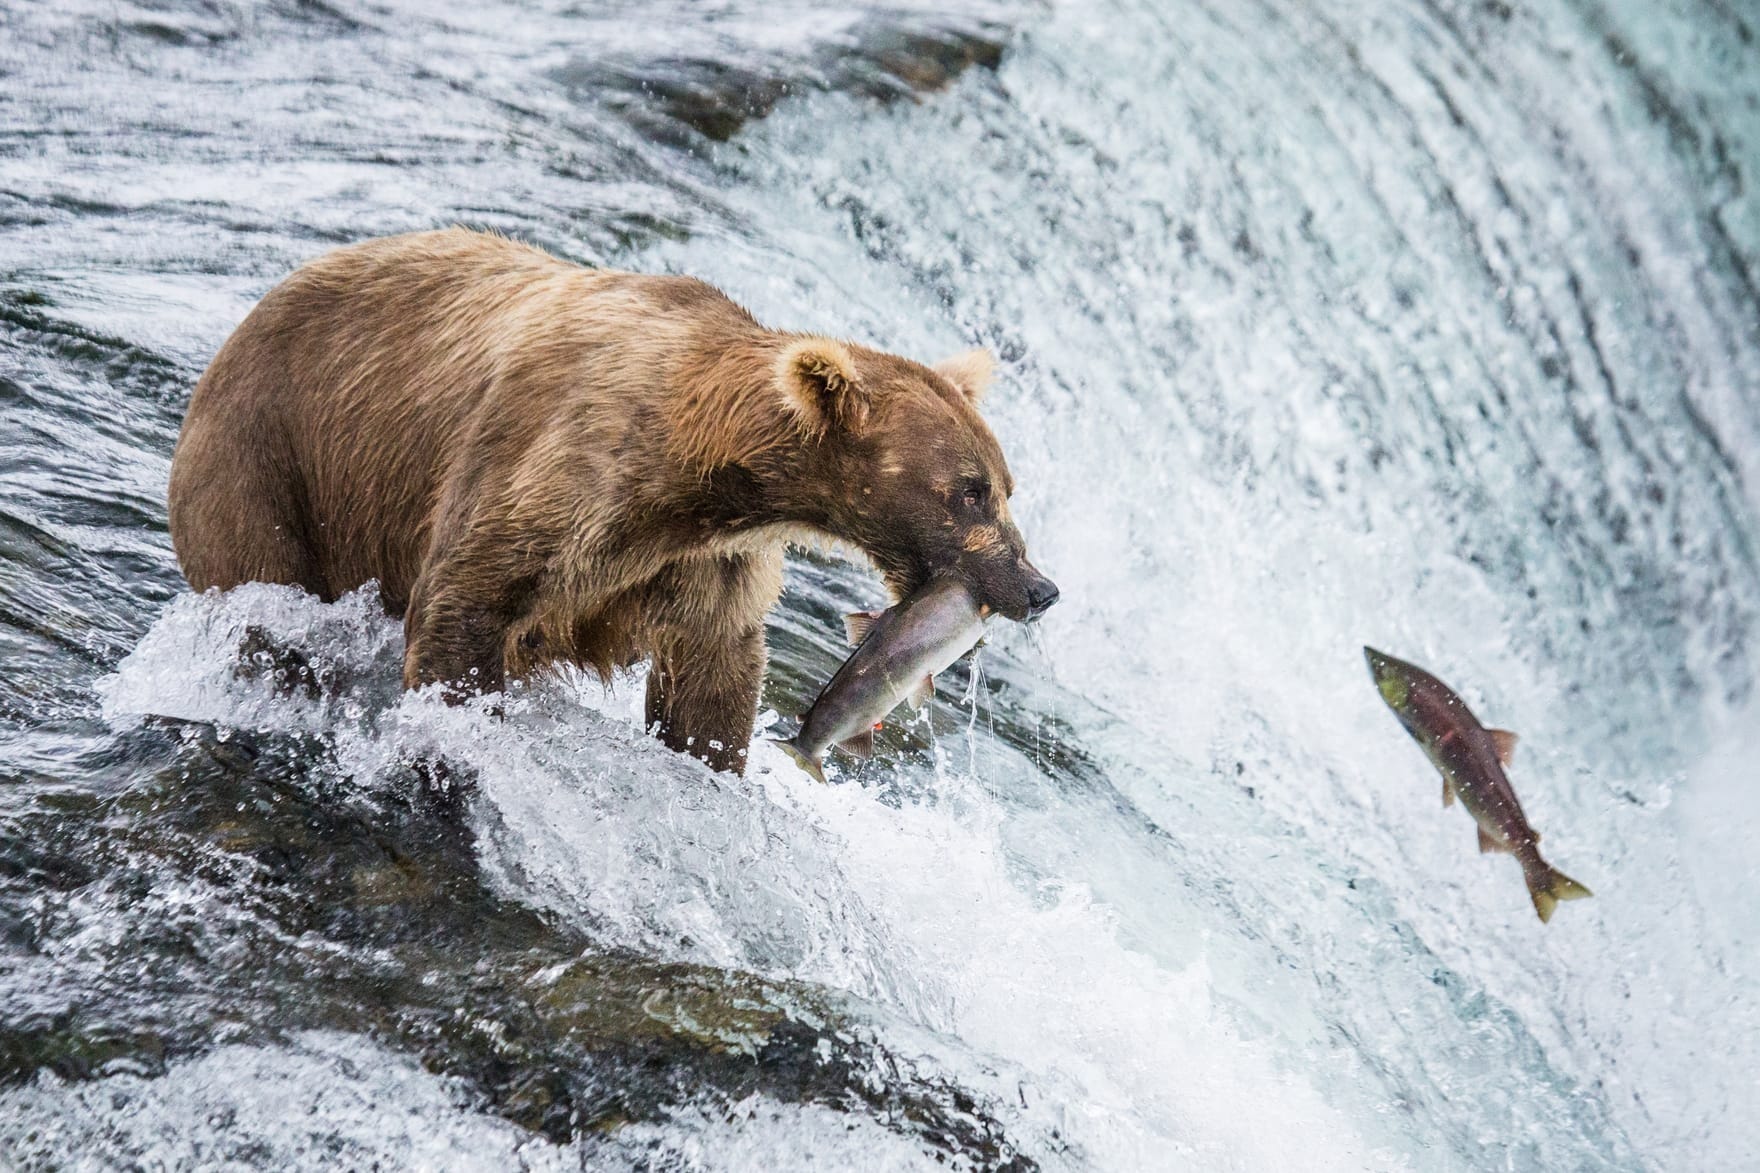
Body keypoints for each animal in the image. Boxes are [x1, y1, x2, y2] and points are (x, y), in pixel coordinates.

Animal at [168, 228, 1058, 773]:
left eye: (1004, 486)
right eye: (970, 491)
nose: (1038, 586)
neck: (696, 472)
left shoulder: (703, 562)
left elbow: (711, 677)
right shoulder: (555, 476)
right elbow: (465, 604)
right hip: (265, 466)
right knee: (267, 607)